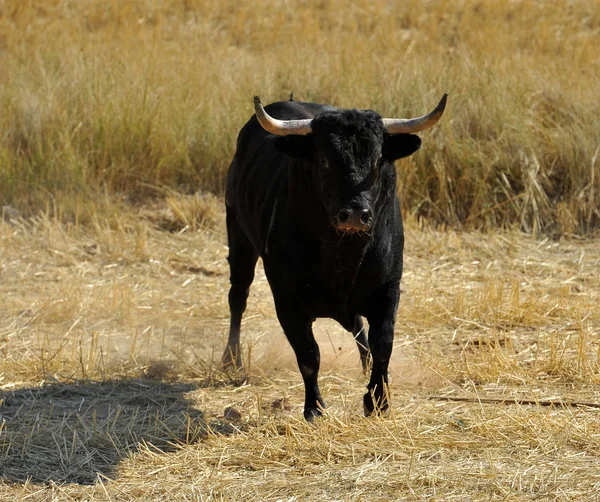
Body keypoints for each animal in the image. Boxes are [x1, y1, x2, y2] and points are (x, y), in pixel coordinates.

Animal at [221, 93, 446, 420]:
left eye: (378, 160)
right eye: (325, 160)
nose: (354, 213)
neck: (342, 256)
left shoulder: (388, 288)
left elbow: (383, 344)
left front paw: (378, 401)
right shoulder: (287, 300)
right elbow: (308, 355)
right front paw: (314, 407)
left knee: (358, 327)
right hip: (238, 235)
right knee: (238, 296)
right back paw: (231, 360)